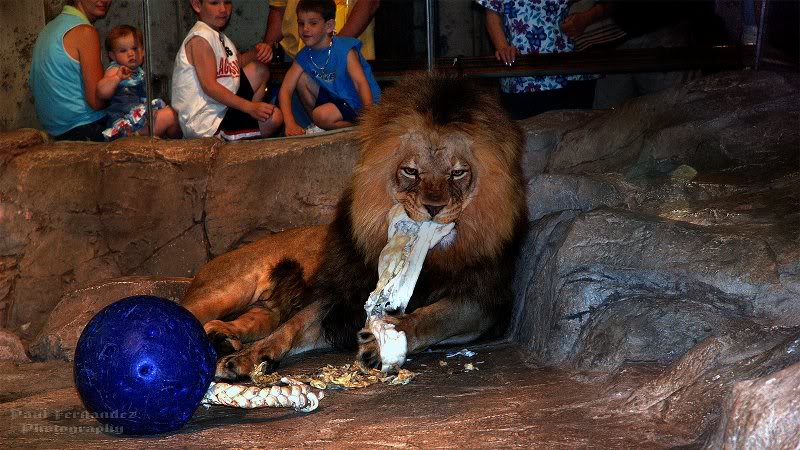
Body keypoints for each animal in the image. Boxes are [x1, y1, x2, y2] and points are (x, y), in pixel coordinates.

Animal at [181, 73, 527, 379]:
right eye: (411, 171)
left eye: (457, 173)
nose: (434, 208)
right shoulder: (339, 298)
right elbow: (291, 327)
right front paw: (248, 358)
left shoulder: (480, 302)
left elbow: (430, 318)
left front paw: (382, 341)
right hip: (225, 291)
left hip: (262, 308)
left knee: (253, 319)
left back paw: (223, 336)